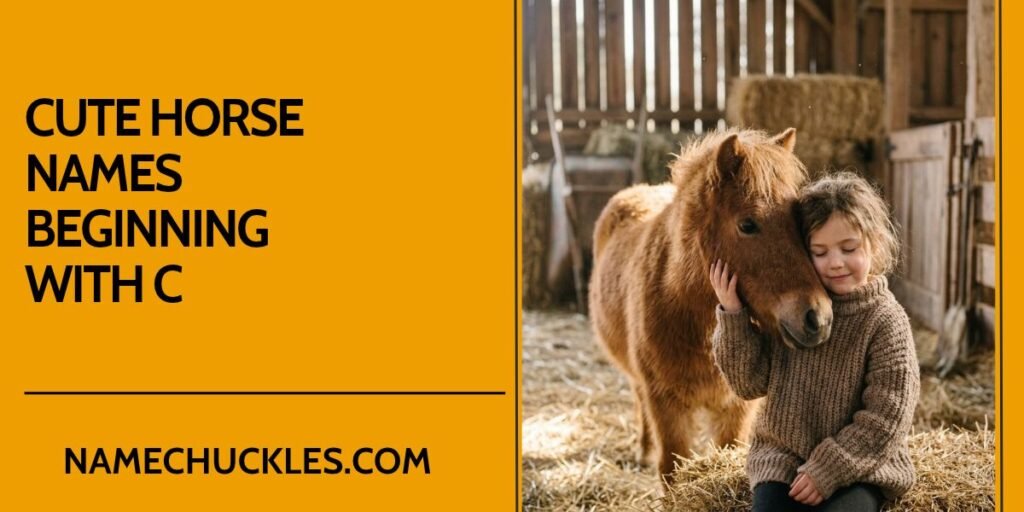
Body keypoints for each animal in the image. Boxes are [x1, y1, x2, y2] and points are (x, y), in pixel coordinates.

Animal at [588, 128, 833, 484]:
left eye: (799, 221)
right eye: (747, 225)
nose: (818, 318)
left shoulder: (736, 410)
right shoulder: (667, 406)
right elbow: (670, 470)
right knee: (638, 400)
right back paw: (643, 451)